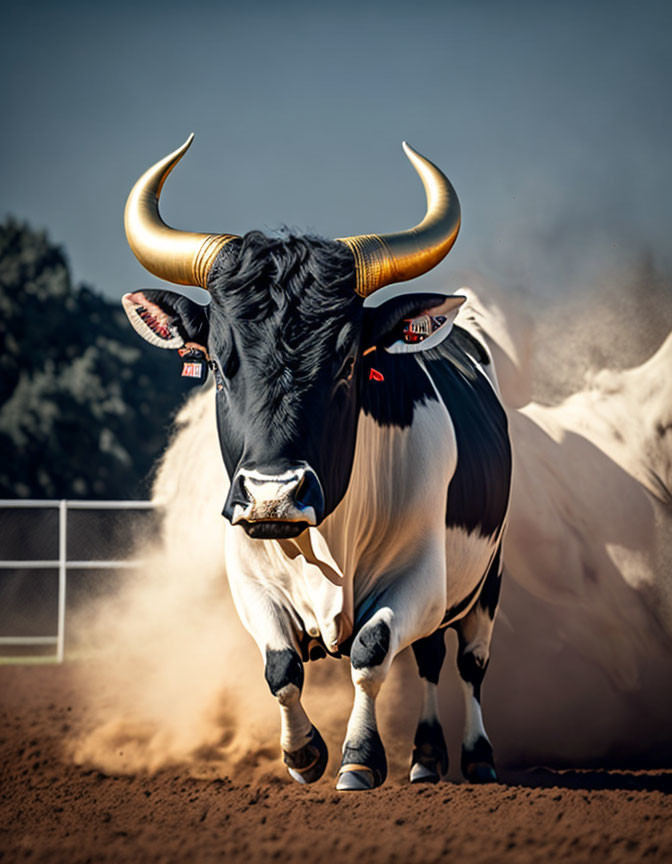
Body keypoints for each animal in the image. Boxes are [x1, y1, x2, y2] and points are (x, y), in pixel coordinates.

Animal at [121, 135, 512, 788]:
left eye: (348, 363)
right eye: (218, 365)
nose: (273, 494)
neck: (322, 541)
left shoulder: (421, 578)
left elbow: (371, 651)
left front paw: (359, 757)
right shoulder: (247, 576)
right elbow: (280, 666)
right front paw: (303, 752)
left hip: (485, 578)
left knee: (469, 660)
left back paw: (477, 755)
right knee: (430, 657)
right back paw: (427, 756)